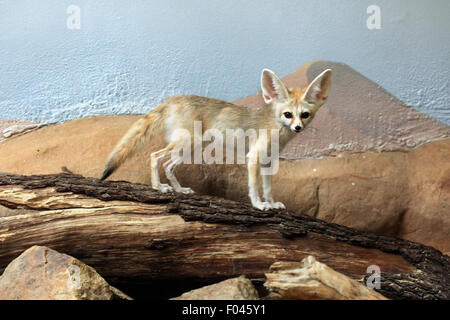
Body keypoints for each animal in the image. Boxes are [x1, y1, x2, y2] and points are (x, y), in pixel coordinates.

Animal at [103, 68, 334, 210]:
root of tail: (173, 99)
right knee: (154, 156)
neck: (277, 129)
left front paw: (272, 202)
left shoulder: (269, 161)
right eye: (287, 114)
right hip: (187, 144)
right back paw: (158, 187)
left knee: (168, 165)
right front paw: (259, 205)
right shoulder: (253, 158)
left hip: (190, 149)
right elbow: (254, 187)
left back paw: (179, 190)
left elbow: (268, 187)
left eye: (305, 115)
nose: (297, 127)